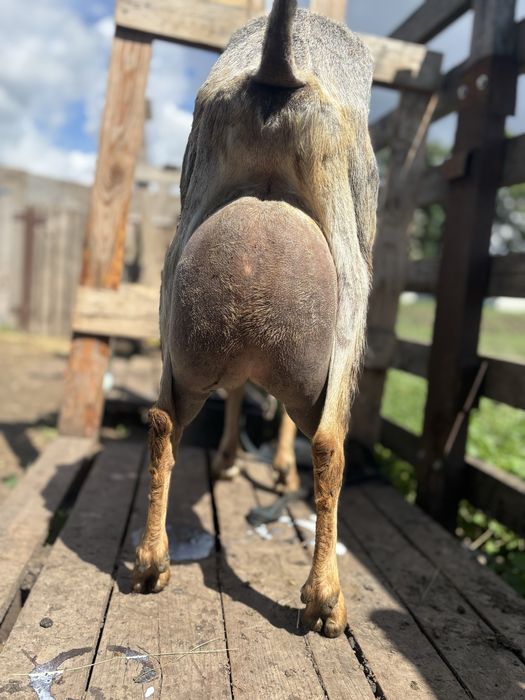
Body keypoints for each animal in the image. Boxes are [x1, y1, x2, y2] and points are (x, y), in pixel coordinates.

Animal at [133, 0, 378, 638]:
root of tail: (277, 71)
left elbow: (239, 393)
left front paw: (227, 457)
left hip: (177, 296)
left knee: (164, 420)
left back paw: (151, 562)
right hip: (350, 292)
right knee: (328, 442)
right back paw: (325, 601)